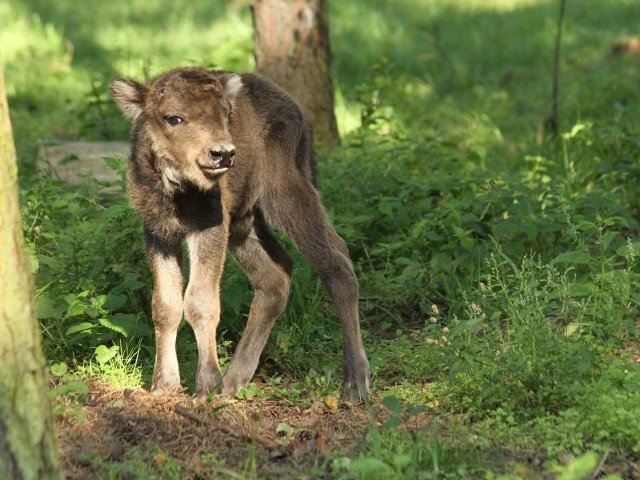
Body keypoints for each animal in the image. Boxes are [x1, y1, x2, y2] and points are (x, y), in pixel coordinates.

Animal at [110, 66, 370, 402]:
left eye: (226, 113)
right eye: (173, 118)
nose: (222, 153)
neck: (178, 191)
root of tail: (296, 108)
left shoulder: (210, 226)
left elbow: (200, 301)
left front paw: (206, 386)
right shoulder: (158, 233)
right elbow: (165, 305)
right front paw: (164, 386)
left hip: (284, 193)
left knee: (336, 262)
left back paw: (354, 384)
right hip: (245, 222)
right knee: (276, 275)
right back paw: (234, 381)